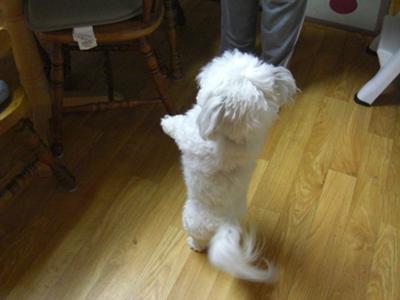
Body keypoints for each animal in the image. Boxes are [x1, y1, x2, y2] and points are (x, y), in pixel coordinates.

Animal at [160, 49, 296, 282]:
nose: (204, 70)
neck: (233, 138)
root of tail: (226, 225)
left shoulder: (189, 135)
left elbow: (178, 127)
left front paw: (166, 122)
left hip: (190, 218)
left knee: (199, 240)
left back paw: (194, 244)